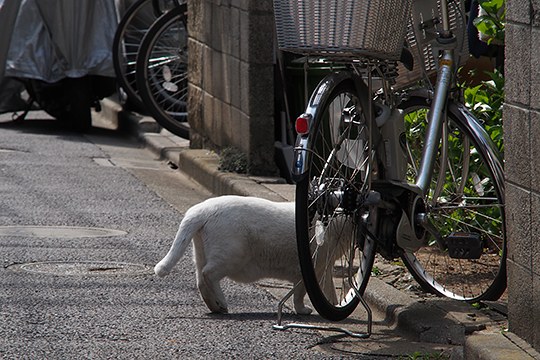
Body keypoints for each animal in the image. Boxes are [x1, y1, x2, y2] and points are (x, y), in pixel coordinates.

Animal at [154, 195, 312, 314]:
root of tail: (201, 209)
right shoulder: (304, 273)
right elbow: (300, 295)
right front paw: (303, 310)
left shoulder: (300, 275)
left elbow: (298, 294)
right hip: (231, 256)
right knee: (208, 274)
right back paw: (222, 302)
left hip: (201, 254)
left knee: (201, 281)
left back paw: (216, 307)